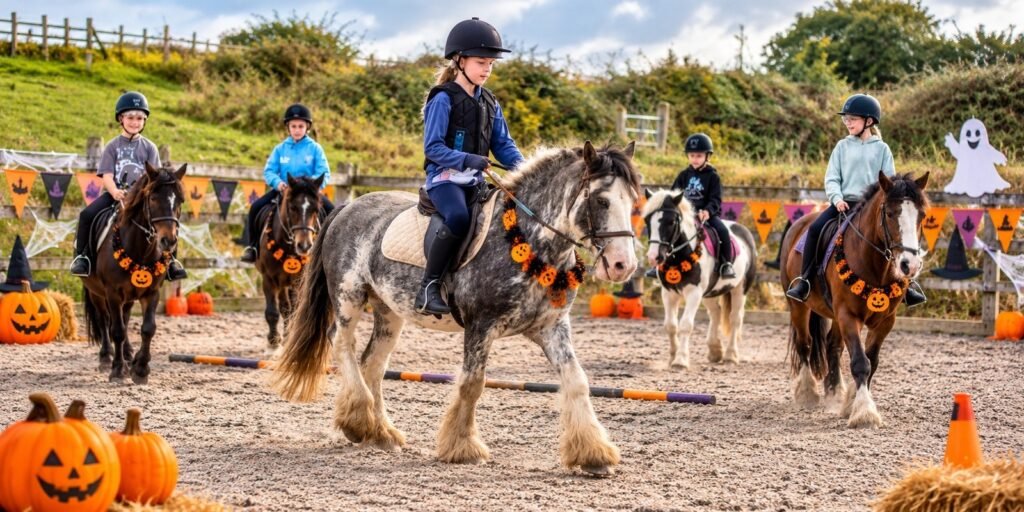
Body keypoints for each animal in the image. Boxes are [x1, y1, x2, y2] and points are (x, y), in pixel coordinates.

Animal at [81, 162, 186, 384]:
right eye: (153, 198)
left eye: (180, 200)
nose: (168, 241)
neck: (140, 250)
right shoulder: (112, 293)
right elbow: (117, 331)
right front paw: (117, 370)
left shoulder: (152, 292)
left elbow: (148, 328)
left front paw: (140, 368)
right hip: (96, 293)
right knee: (104, 321)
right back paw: (106, 358)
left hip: (128, 296)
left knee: (126, 316)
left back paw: (129, 354)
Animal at [254, 175, 324, 350]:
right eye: (293, 208)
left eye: (315, 209)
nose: (304, 246)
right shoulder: (269, 278)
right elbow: (272, 312)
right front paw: (273, 340)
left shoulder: (298, 281)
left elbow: (293, 310)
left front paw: (286, 337)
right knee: (284, 307)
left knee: (290, 308)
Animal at [272, 141, 640, 475]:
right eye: (601, 200)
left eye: (633, 202)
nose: (623, 265)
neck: (528, 241)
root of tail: (347, 208)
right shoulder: (480, 326)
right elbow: (472, 384)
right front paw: (463, 448)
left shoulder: (551, 328)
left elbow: (577, 380)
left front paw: (593, 454)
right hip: (348, 296)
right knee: (342, 345)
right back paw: (357, 423)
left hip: (389, 311)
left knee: (372, 363)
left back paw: (381, 431)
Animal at [642, 190, 758, 370]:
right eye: (647, 220)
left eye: (671, 222)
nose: (654, 257)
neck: (679, 256)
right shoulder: (668, 293)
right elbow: (670, 325)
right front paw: (672, 356)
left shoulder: (694, 292)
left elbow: (685, 325)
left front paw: (681, 360)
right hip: (709, 293)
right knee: (716, 313)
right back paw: (715, 351)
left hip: (740, 289)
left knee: (735, 319)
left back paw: (731, 355)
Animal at [780, 171, 929, 428]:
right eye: (890, 213)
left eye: (922, 215)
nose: (909, 265)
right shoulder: (848, 316)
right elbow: (860, 362)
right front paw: (864, 413)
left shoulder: (885, 322)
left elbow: (872, 361)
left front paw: (851, 403)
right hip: (799, 306)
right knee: (805, 343)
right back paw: (807, 393)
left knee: (832, 346)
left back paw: (834, 392)